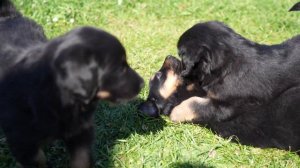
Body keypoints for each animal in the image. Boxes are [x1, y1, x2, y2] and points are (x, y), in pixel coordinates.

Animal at [0, 0, 144, 167]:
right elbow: (38, 160)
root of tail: (7, 16)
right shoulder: (23, 143)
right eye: (119, 69)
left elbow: (82, 159)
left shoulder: (80, 132)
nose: (143, 83)